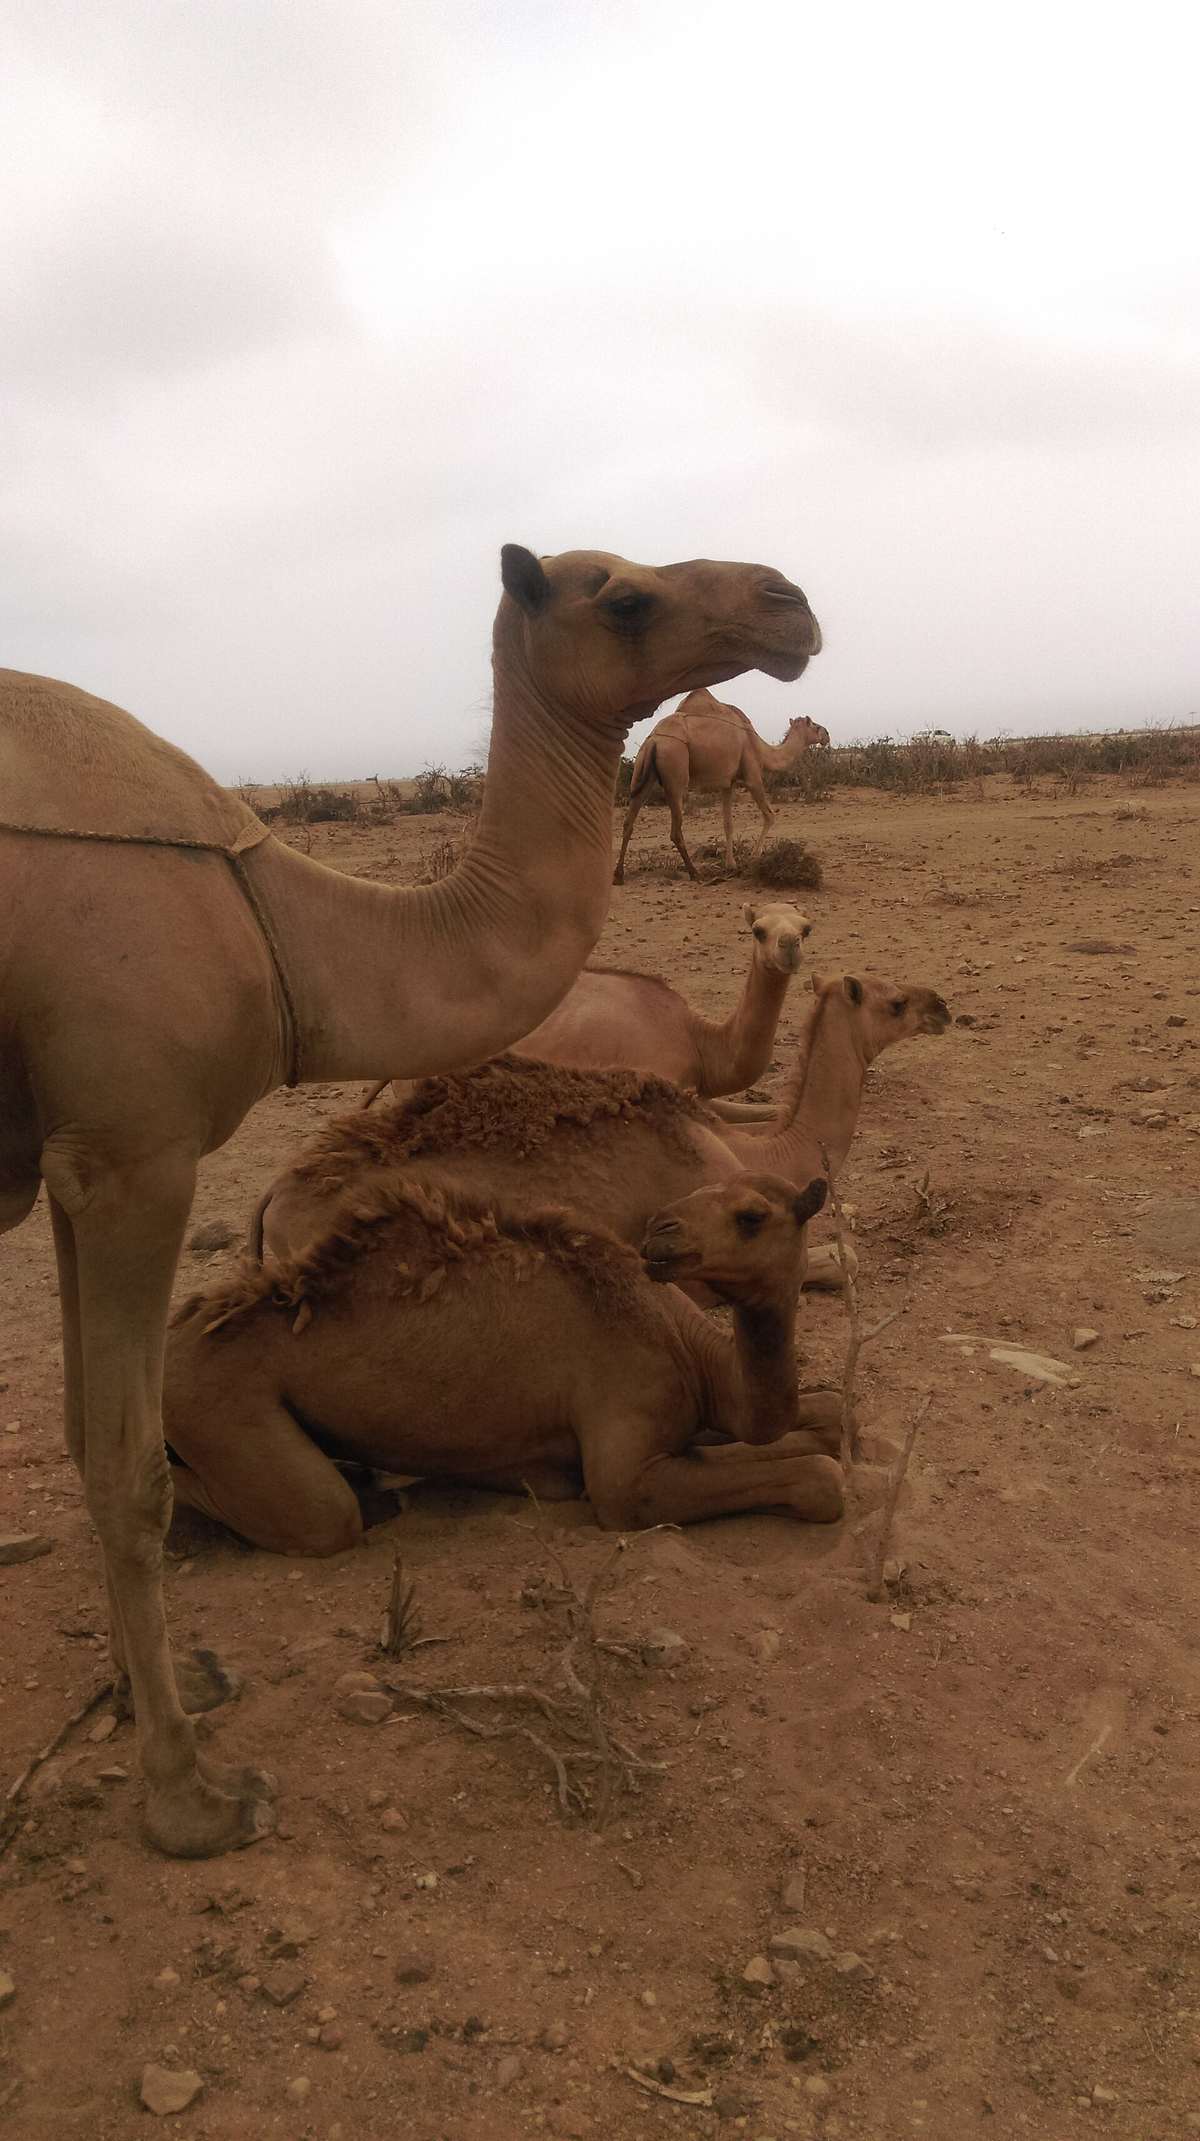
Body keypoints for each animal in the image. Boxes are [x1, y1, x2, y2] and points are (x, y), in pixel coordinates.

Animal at [163, 1173, 843, 1553]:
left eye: (751, 1215)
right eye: (698, 1196)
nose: (662, 1232)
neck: (692, 1353)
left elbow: (831, 1420)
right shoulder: (626, 1473)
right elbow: (821, 1478)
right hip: (217, 1411)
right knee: (320, 1513)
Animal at [613, 686, 831, 884]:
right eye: (814, 725)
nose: (827, 735)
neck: (760, 748)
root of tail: (655, 740)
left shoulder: (728, 783)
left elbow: (727, 823)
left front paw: (730, 865)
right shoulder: (753, 776)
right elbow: (769, 816)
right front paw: (753, 857)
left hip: (643, 771)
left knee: (628, 822)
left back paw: (618, 875)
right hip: (675, 766)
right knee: (675, 829)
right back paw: (694, 873)